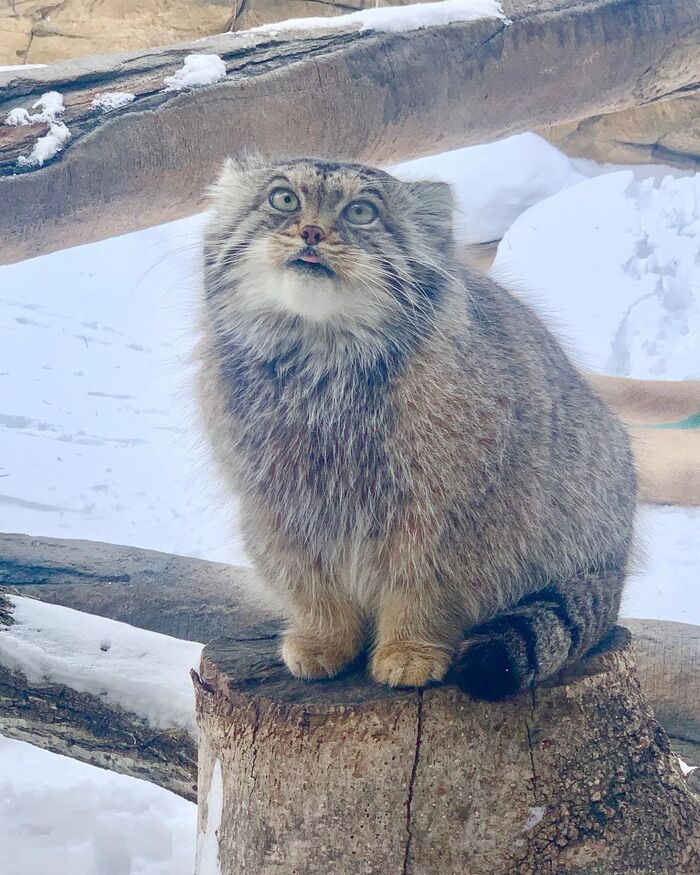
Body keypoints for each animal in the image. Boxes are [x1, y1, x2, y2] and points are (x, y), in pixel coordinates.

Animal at [194, 154, 636, 700]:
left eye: (361, 211)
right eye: (284, 199)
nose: (312, 232)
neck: (322, 360)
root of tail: (616, 559)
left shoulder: (446, 514)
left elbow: (422, 588)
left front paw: (411, 650)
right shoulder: (282, 507)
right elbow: (314, 584)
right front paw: (324, 640)